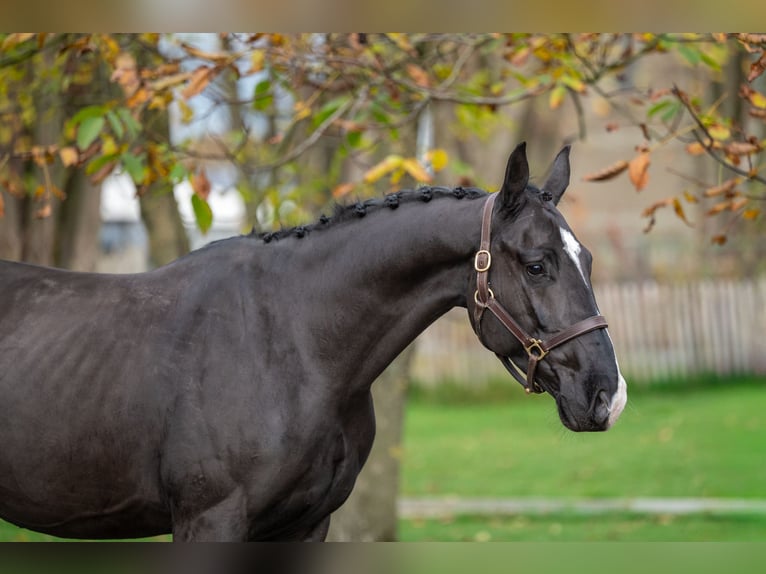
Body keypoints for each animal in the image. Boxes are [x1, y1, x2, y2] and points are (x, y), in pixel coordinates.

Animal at [0, 143, 627, 541]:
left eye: (590, 260)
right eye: (538, 265)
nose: (608, 396)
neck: (295, 346)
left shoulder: (306, 525)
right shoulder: (209, 521)